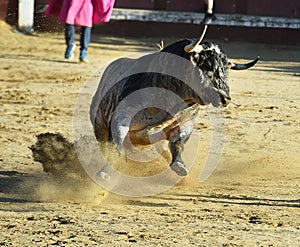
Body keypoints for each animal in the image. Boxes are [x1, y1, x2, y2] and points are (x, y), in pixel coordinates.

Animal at [88, 38, 258, 178]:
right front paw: (105, 172)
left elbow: (177, 143)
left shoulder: (186, 121)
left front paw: (179, 166)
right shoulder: (122, 115)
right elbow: (116, 143)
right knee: (106, 143)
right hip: (99, 126)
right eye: (208, 65)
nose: (225, 98)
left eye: (226, 69)